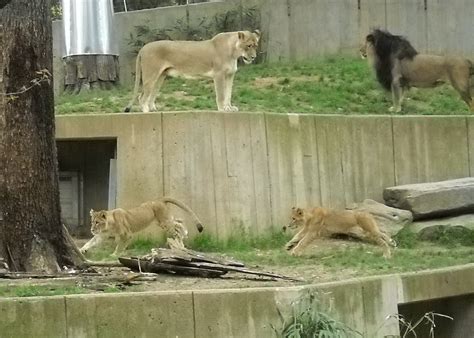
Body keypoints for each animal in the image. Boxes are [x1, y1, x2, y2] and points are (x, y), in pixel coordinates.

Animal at [124, 29, 262, 113]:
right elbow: (221, 95)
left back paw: (154, 110)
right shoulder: (219, 75)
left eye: (255, 46)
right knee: (142, 97)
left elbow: (228, 93)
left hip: (160, 77)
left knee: (150, 95)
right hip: (151, 75)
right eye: (248, 45)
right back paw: (147, 112)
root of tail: (143, 48)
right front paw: (222, 109)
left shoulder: (229, 75)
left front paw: (229, 108)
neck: (233, 53)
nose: (253, 57)